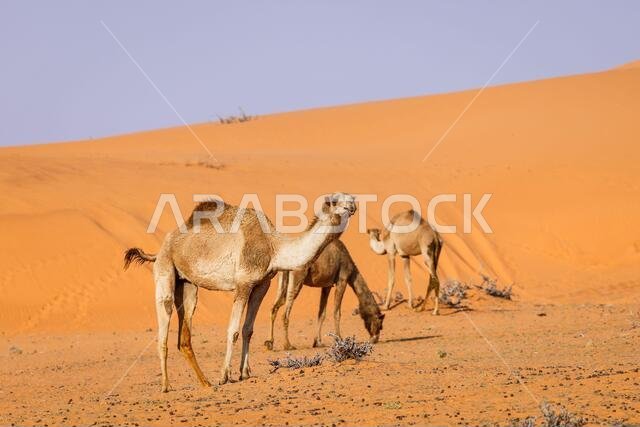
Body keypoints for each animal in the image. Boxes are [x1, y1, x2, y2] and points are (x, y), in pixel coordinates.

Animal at [123, 192, 356, 392]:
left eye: (351, 199)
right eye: (335, 201)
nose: (352, 206)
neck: (273, 247)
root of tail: (161, 248)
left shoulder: (262, 285)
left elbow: (248, 329)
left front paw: (245, 373)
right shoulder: (243, 283)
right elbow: (233, 330)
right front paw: (224, 376)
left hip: (188, 284)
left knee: (185, 333)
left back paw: (205, 382)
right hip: (165, 271)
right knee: (164, 319)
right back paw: (166, 385)